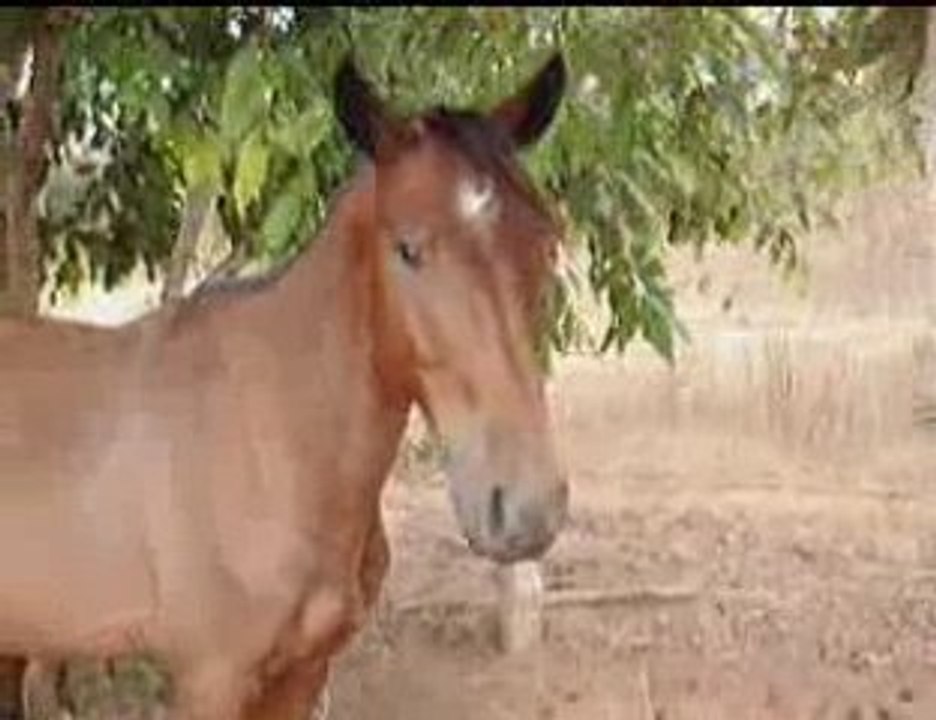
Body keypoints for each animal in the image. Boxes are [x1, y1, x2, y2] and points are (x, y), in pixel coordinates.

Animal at [0, 50, 570, 719]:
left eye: (547, 242)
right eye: (407, 249)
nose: (526, 509)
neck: (276, 441)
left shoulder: (303, 673)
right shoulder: (211, 679)